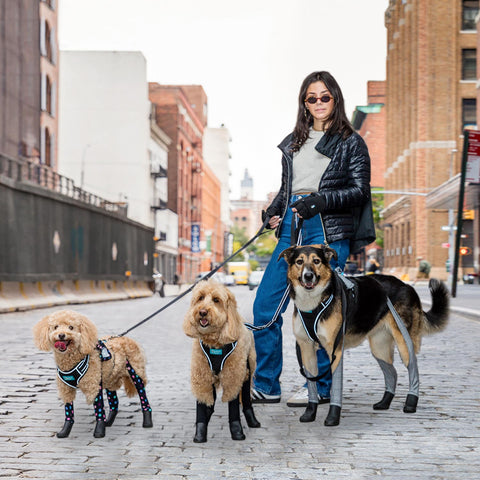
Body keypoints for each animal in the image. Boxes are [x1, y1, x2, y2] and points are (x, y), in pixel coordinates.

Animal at [184, 282, 260, 442]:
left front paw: (237, 431)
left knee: (246, 399)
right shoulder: (202, 375)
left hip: (247, 370)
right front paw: (200, 432)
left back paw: (252, 420)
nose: (202, 312)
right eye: (200, 298)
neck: (215, 343)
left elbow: (233, 407)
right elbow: (202, 403)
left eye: (216, 300)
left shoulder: (233, 376)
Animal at [282, 246, 450, 426]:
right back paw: (385, 402)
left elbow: (335, 387)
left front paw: (333, 417)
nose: (308, 276)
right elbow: (312, 383)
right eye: (299, 262)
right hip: (379, 347)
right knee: (392, 372)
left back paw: (411, 403)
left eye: (316, 261)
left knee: (413, 367)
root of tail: (406, 285)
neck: (313, 303)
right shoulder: (306, 349)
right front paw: (310, 413)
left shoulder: (335, 351)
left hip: (404, 342)